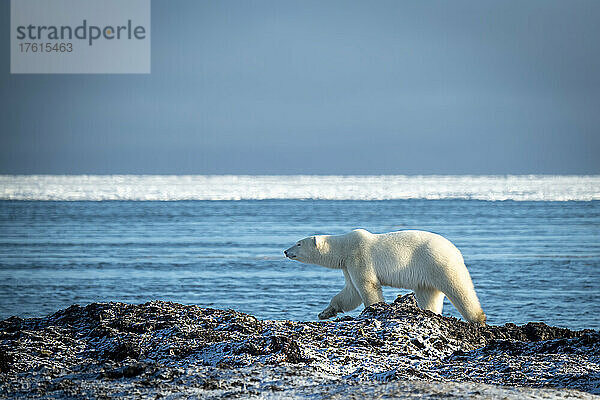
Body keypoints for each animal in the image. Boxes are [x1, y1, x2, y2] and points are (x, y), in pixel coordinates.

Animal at [284, 230, 486, 324]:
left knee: (459, 288)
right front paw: (325, 312)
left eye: (298, 243)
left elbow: (367, 286)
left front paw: (373, 309)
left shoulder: (359, 256)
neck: (344, 246)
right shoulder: (347, 266)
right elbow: (350, 292)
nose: (285, 251)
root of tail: (455, 250)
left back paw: (479, 319)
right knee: (429, 295)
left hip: (438, 262)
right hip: (427, 275)